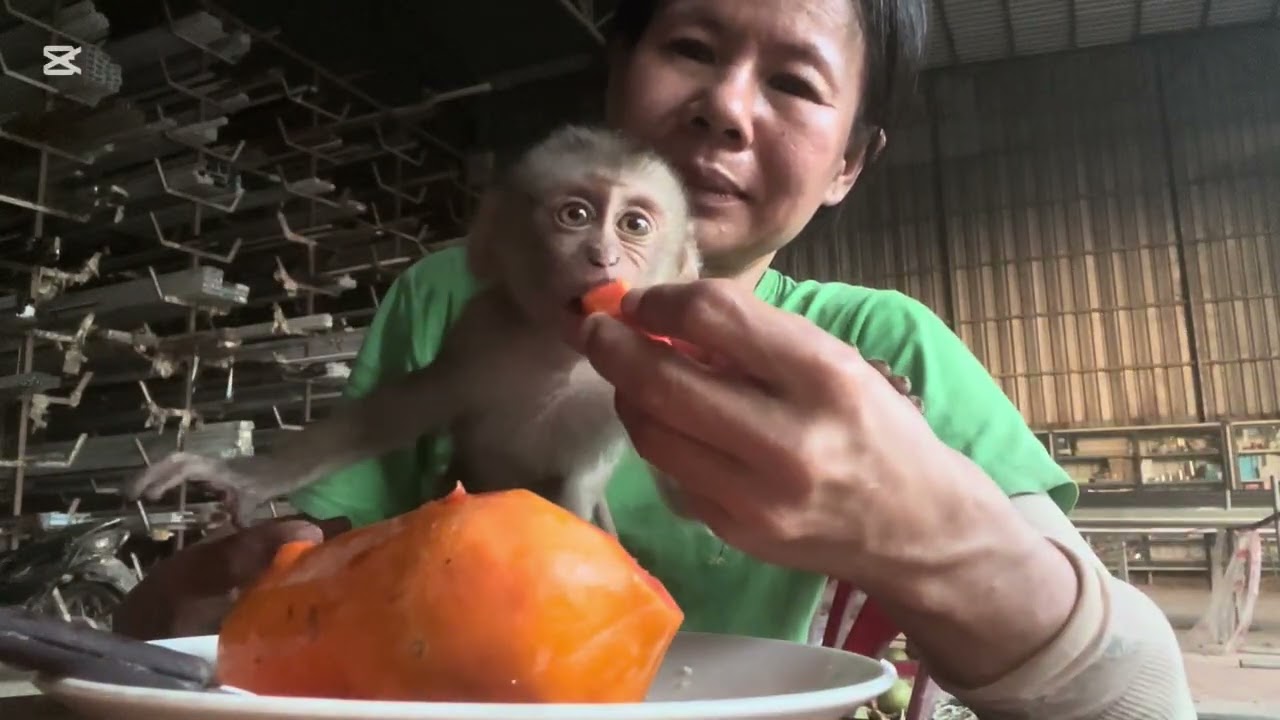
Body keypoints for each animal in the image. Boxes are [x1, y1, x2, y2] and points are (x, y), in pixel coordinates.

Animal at [124, 125, 701, 532]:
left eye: (634, 225)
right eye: (575, 215)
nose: (603, 257)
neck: (562, 355)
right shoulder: (481, 330)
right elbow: (407, 406)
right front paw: (251, 478)